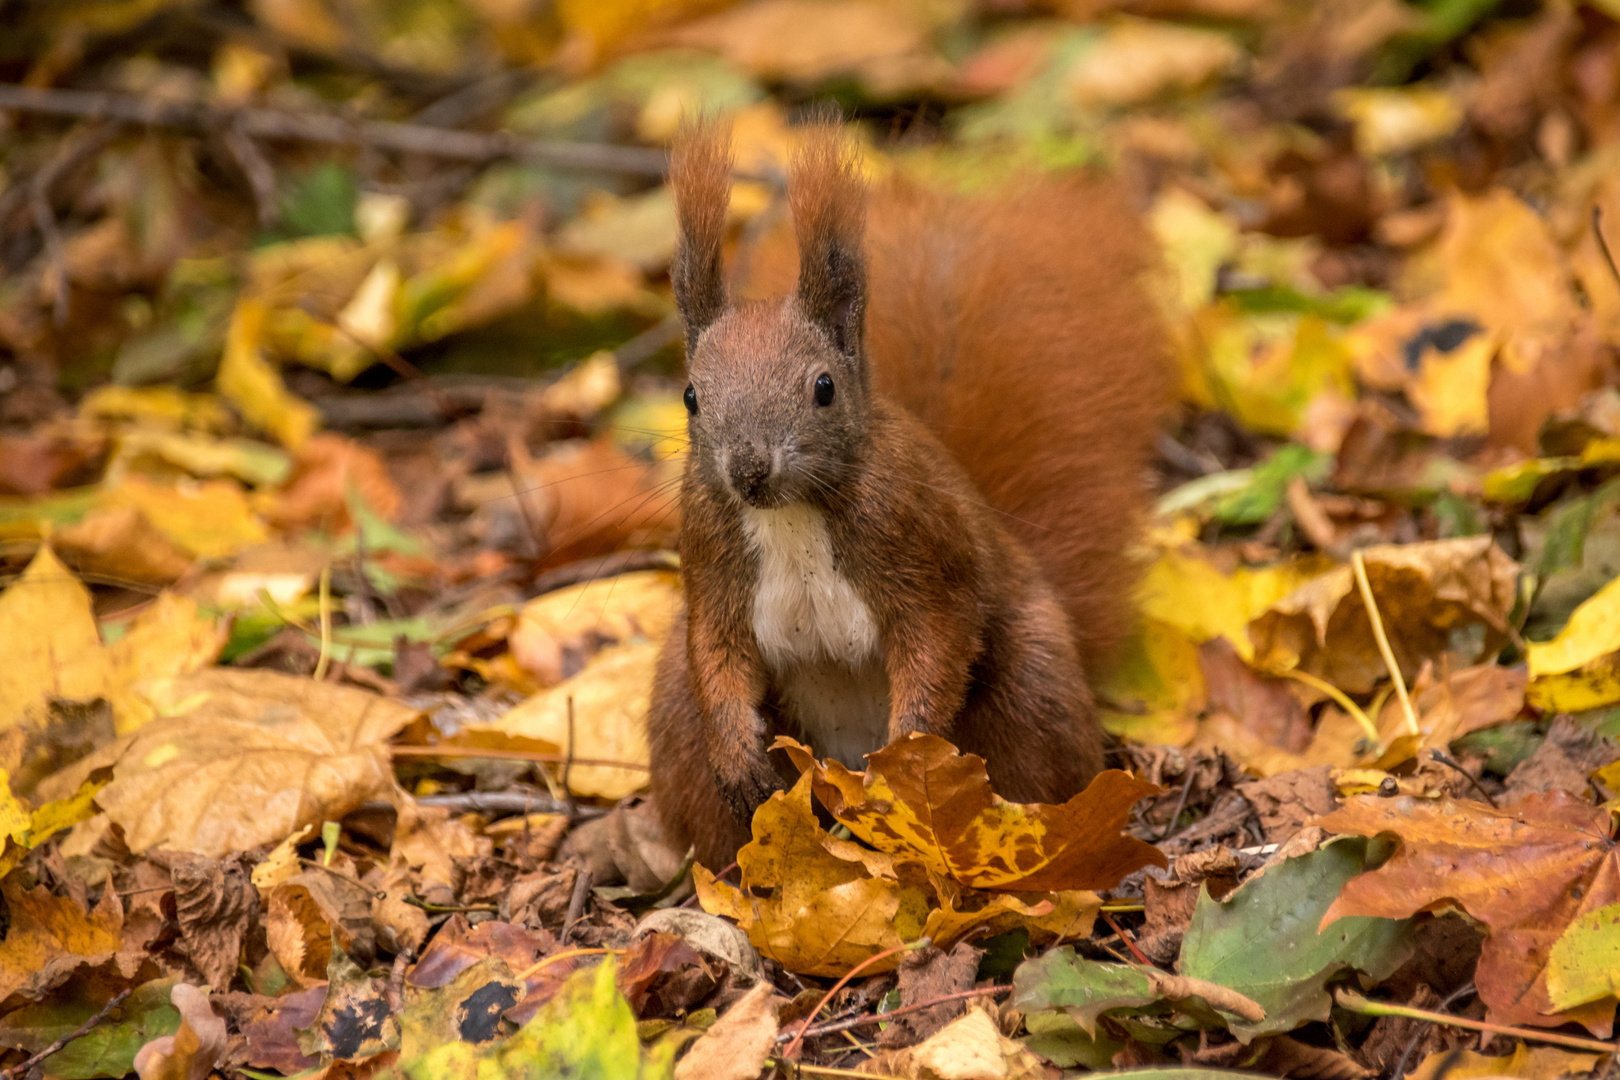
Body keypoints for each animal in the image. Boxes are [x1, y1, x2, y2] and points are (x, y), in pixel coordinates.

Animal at [641, 118, 1166, 867]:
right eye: (689, 396)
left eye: (824, 387)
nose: (748, 469)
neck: (793, 516)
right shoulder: (709, 557)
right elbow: (716, 652)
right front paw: (738, 753)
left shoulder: (924, 546)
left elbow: (938, 645)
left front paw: (897, 760)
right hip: (677, 719)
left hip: (1029, 691)